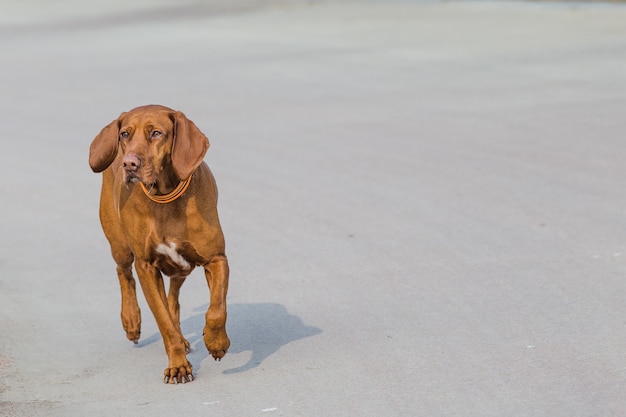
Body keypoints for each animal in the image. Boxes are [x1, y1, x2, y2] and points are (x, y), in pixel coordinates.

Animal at [88, 105, 229, 384]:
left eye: (156, 133)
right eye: (124, 134)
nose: (129, 163)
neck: (166, 197)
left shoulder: (216, 258)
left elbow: (216, 309)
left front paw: (217, 342)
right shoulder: (147, 268)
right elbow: (163, 321)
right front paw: (178, 366)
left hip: (181, 267)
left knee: (173, 298)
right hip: (120, 245)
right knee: (123, 272)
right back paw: (131, 320)